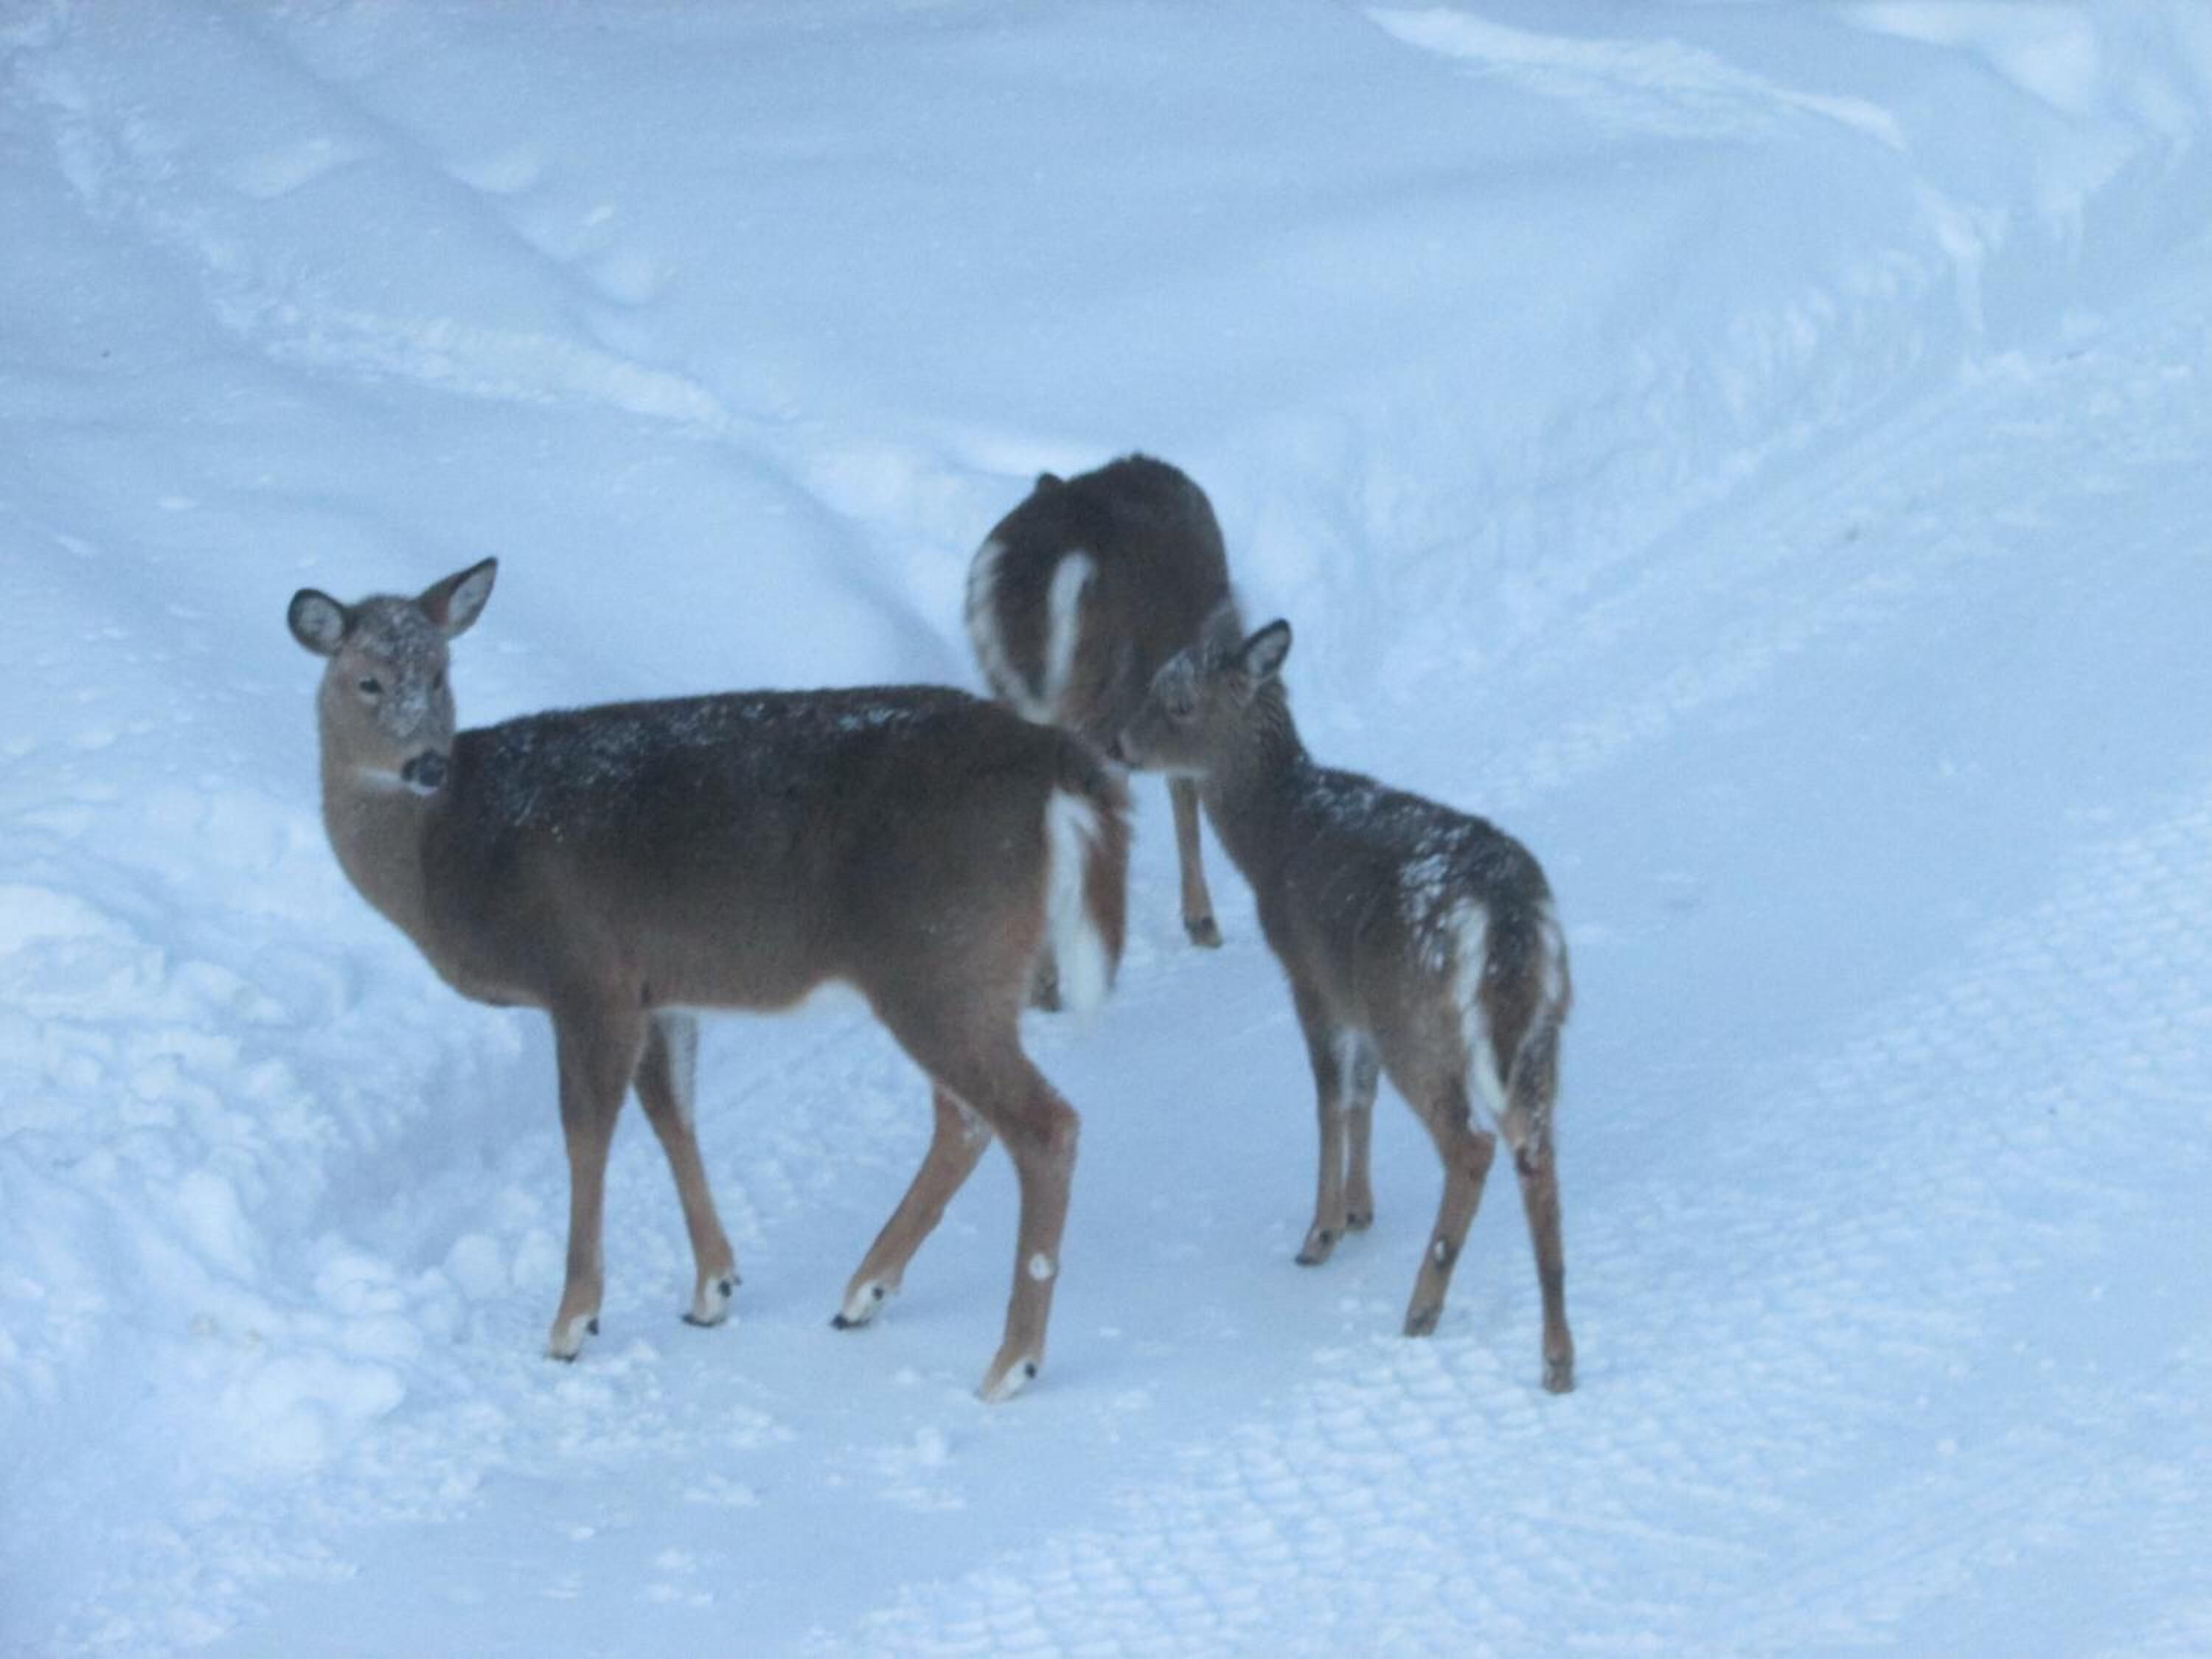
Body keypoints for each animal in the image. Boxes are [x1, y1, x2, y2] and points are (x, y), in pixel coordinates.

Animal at [286, 558, 1129, 1402]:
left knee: (1043, 1124)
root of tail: (1053, 762)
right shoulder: (659, 990)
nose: (426, 764)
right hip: (951, 971)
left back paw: (1010, 1362)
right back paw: (864, 1294)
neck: (449, 850)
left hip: (942, 956)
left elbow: (586, 1134)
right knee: (968, 1120)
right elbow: (673, 1115)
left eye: (439, 672)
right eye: (367, 680)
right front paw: (713, 1289)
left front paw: (572, 1323)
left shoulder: (586, 972)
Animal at [1116, 609, 1575, 1393]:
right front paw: (1360, 1211)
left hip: (1415, 1021)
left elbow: (1331, 1097)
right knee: (1535, 1151)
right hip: (1542, 1027)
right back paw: (1557, 1358)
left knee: (1473, 1147)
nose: (1116, 741)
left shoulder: (1311, 976)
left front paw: (1321, 1233)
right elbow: (1360, 1096)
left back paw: (1422, 1308)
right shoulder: (1353, 1002)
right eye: (1150, 686)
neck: (1274, 838)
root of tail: (1506, 916)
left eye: (1177, 703)